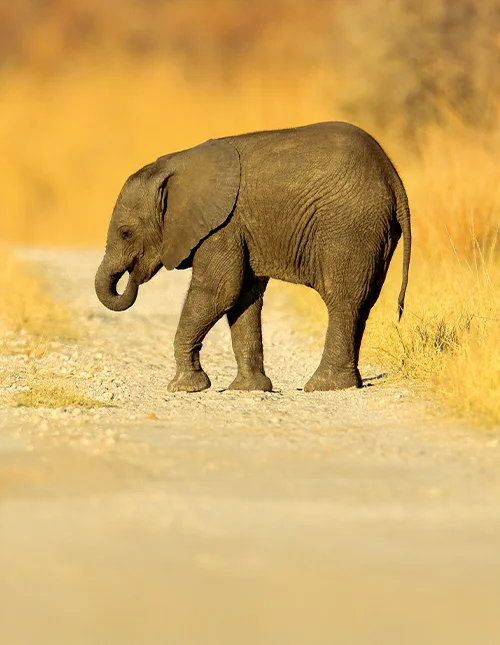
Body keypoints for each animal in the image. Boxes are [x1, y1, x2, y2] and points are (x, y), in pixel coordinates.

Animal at [95, 121, 411, 393]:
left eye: (125, 233)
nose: (132, 277)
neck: (175, 166)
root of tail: (393, 177)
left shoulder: (223, 225)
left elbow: (219, 291)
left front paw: (185, 387)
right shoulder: (238, 227)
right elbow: (243, 298)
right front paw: (248, 389)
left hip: (350, 227)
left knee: (343, 298)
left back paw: (322, 386)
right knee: (362, 302)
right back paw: (345, 384)